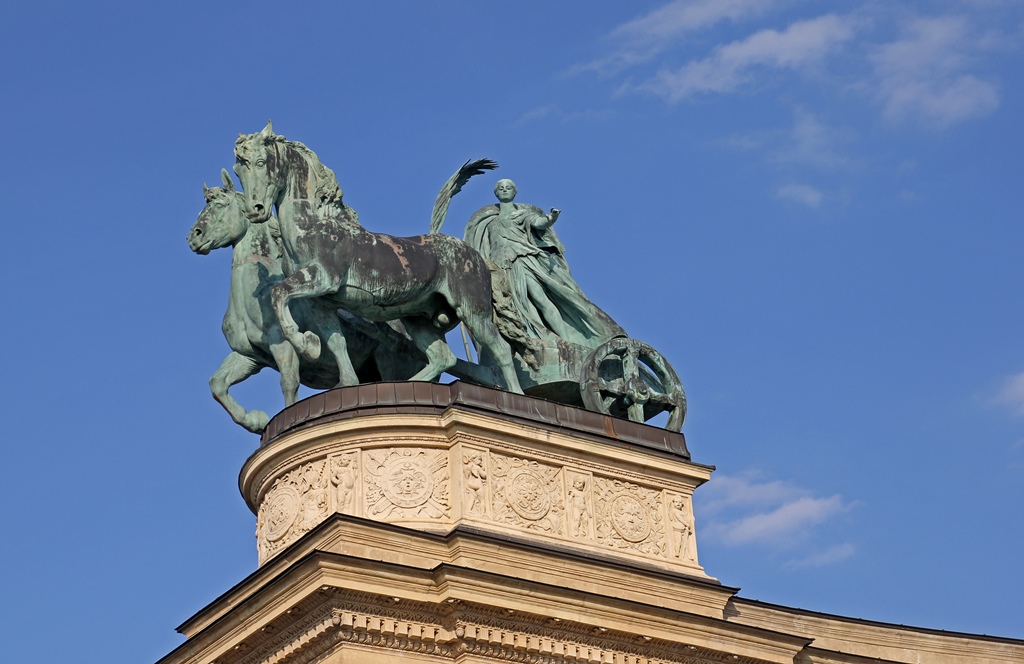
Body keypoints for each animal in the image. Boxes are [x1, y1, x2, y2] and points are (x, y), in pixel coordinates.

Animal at [186, 169, 413, 432]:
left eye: (221, 204)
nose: (193, 237)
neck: (255, 299)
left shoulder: (282, 345)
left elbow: (289, 382)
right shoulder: (250, 356)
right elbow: (217, 384)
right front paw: (256, 420)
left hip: (391, 365)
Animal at [232, 122, 520, 393]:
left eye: (261, 162)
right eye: (238, 170)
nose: (255, 209)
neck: (314, 224)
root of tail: (477, 257)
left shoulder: (323, 278)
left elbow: (278, 291)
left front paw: (307, 344)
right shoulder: (321, 303)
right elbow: (336, 341)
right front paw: (338, 373)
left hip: (473, 311)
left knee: (501, 350)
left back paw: (516, 396)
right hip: (417, 319)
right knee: (443, 358)